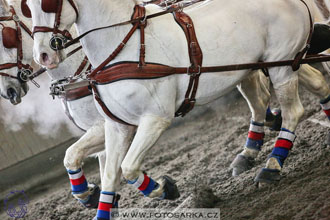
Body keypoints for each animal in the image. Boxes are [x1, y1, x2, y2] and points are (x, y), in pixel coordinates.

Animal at [26, 0, 330, 217]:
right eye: (28, 7)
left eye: (48, 3)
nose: (43, 55)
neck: (125, 46)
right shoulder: (117, 125)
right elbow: (106, 172)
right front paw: (98, 199)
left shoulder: (155, 119)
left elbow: (128, 168)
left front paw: (164, 188)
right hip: (263, 66)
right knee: (307, 89)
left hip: (282, 64)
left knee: (293, 111)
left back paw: (270, 168)